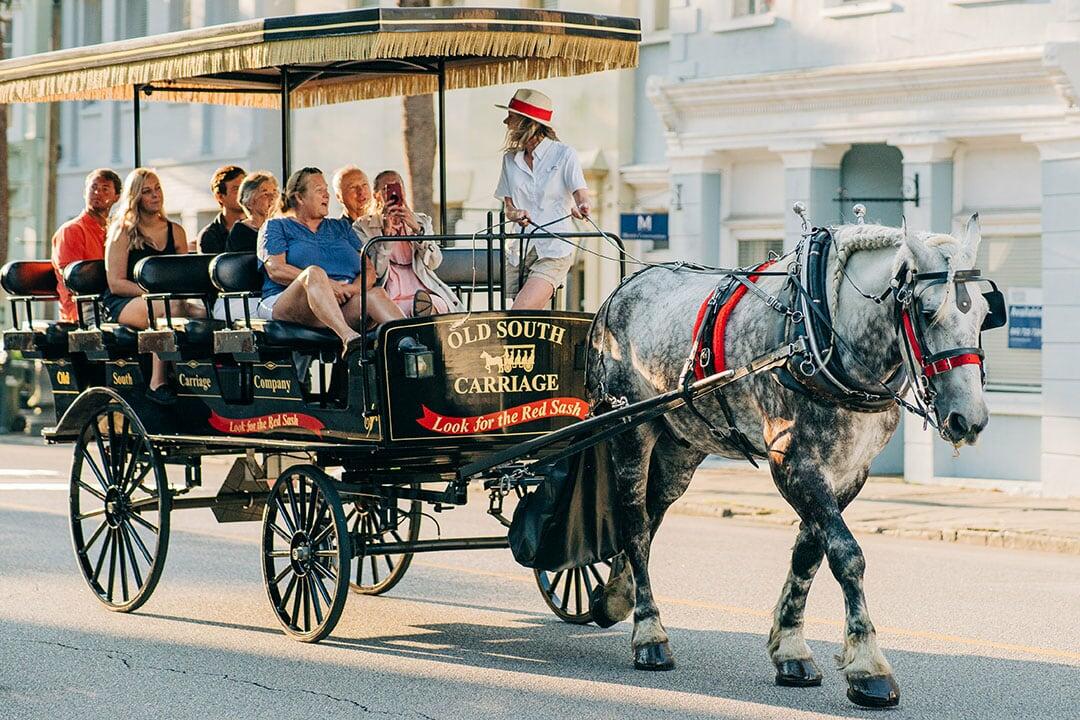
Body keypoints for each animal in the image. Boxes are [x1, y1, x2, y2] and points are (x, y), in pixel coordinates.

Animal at [591, 215, 993, 708]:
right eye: (927, 310)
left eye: (984, 314)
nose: (968, 419)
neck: (824, 334)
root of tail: (621, 289)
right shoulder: (793, 463)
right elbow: (846, 555)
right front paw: (868, 667)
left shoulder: (848, 472)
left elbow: (809, 555)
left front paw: (790, 649)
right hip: (631, 430)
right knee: (633, 524)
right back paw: (649, 634)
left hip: (680, 447)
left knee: (650, 520)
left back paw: (617, 594)